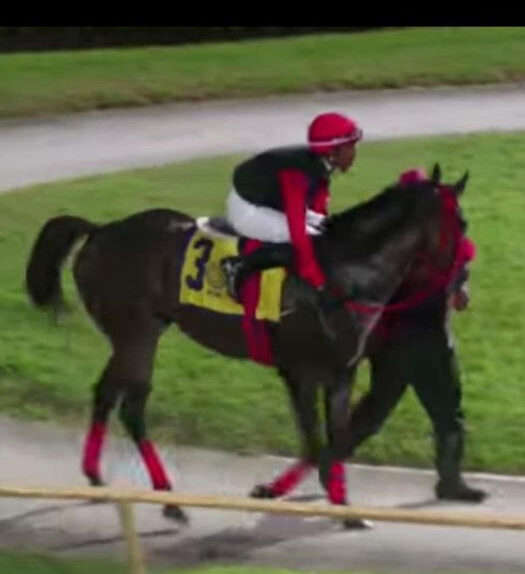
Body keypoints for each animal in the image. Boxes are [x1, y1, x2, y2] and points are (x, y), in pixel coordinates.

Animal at [25, 163, 468, 525]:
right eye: (462, 222)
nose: (462, 278)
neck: (346, 272)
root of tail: (99, 230)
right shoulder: (301, 371)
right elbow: (318, 442)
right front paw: (297, 494)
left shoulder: (340, 371)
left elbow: (334, 439)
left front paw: (340, 506)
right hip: (138, 335)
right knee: (132, 409)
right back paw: (169, 499)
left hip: (132, 335)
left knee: (105, 393)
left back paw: (96, 474)